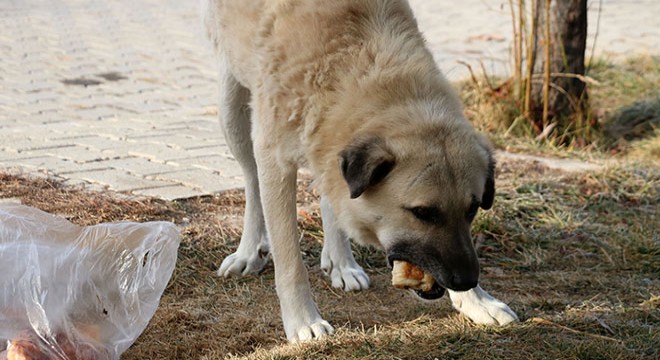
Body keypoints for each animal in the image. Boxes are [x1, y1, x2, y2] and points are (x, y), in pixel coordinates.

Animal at [199, 0, 520, 342]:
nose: (466, 280)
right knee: (251, 180)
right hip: (232, 109)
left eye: (472, 209)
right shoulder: (274, 160)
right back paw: (249, 251)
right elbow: (289, 260)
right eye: (423, 213)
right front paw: (302, 320)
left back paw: (342, 263)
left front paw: (477, 302)